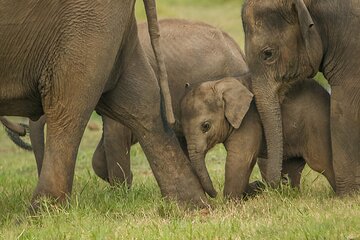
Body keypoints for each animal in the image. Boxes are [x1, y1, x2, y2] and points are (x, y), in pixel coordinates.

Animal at [0, 0, 207, 209]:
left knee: (68, 103)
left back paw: (43, 209)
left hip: (86, 22)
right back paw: (192, 206)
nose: (22, 130)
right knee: (143, 99)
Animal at [181, 77, 336, 199]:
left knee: (322, 163)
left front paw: (230, 202)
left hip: (317, 127)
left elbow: (241, 158)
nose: (215, 194)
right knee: (292, 168)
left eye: (205, 126)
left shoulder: (249, 119)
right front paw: (255, 188)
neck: (220, 83)